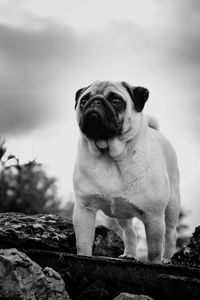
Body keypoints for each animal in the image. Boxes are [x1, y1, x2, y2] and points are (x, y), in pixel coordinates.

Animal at [72, 80, 180, 262]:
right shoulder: (84, 209)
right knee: (130, 232)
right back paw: (129, 254)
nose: (95, 101)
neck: (109, 155)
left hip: (171, 206)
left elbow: (154, 251)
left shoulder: (154, 216)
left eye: (116, 101)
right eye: (84, 100)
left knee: (171, 233)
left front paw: (156, 263)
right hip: (121, 213)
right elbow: (83, 243)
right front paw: (83, 257)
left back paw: (167, 259)